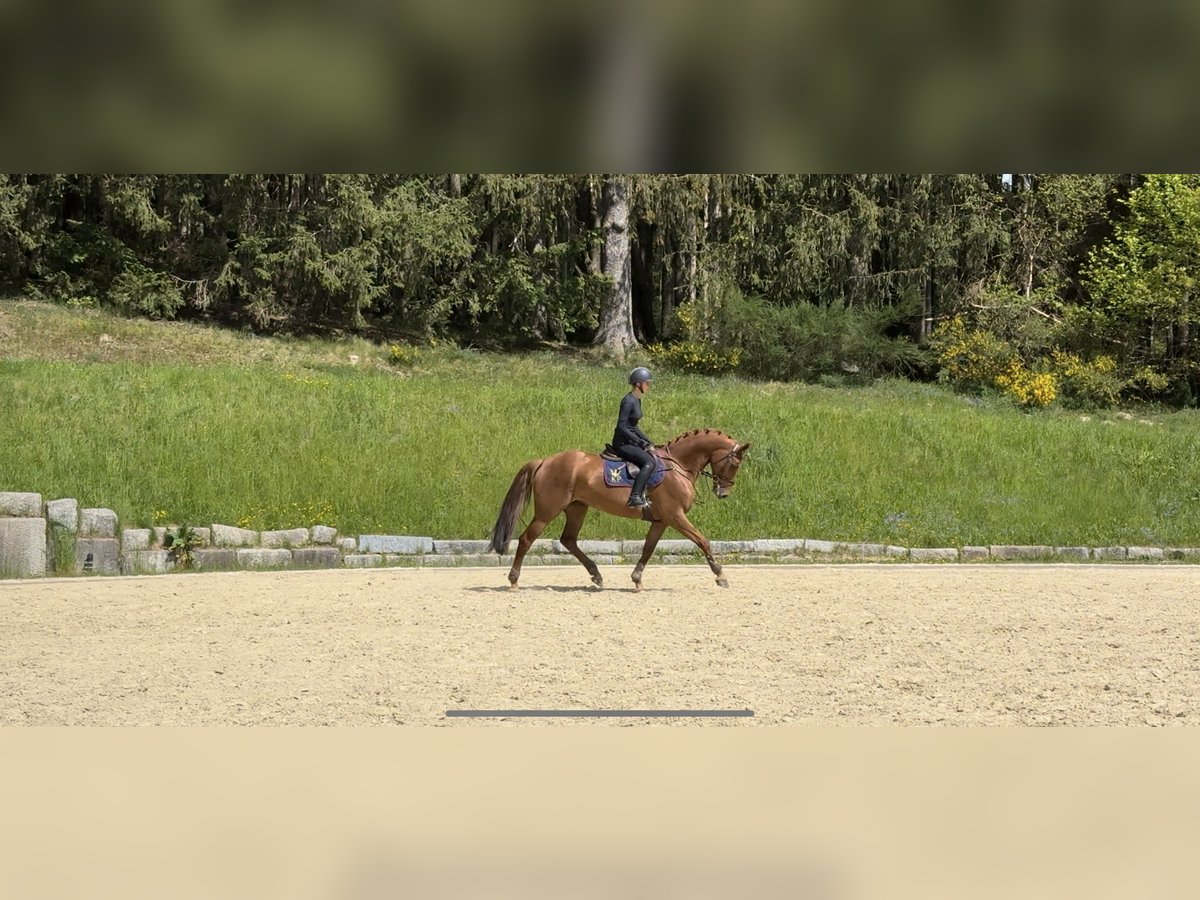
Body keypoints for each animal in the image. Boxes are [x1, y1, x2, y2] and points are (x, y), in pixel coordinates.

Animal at [487, 429, 748, 592]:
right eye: (735, 463)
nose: (723, 493)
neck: (678, 465)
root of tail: (544, 461)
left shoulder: (662, 520)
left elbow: (648, 548)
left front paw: (637, 579)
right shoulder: (675, 516)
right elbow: (703, 540)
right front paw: (720, 575)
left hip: (577, 508)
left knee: (568, 540)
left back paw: (596, 574)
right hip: (548, 511)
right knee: (526, 539)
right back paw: (514, 580)